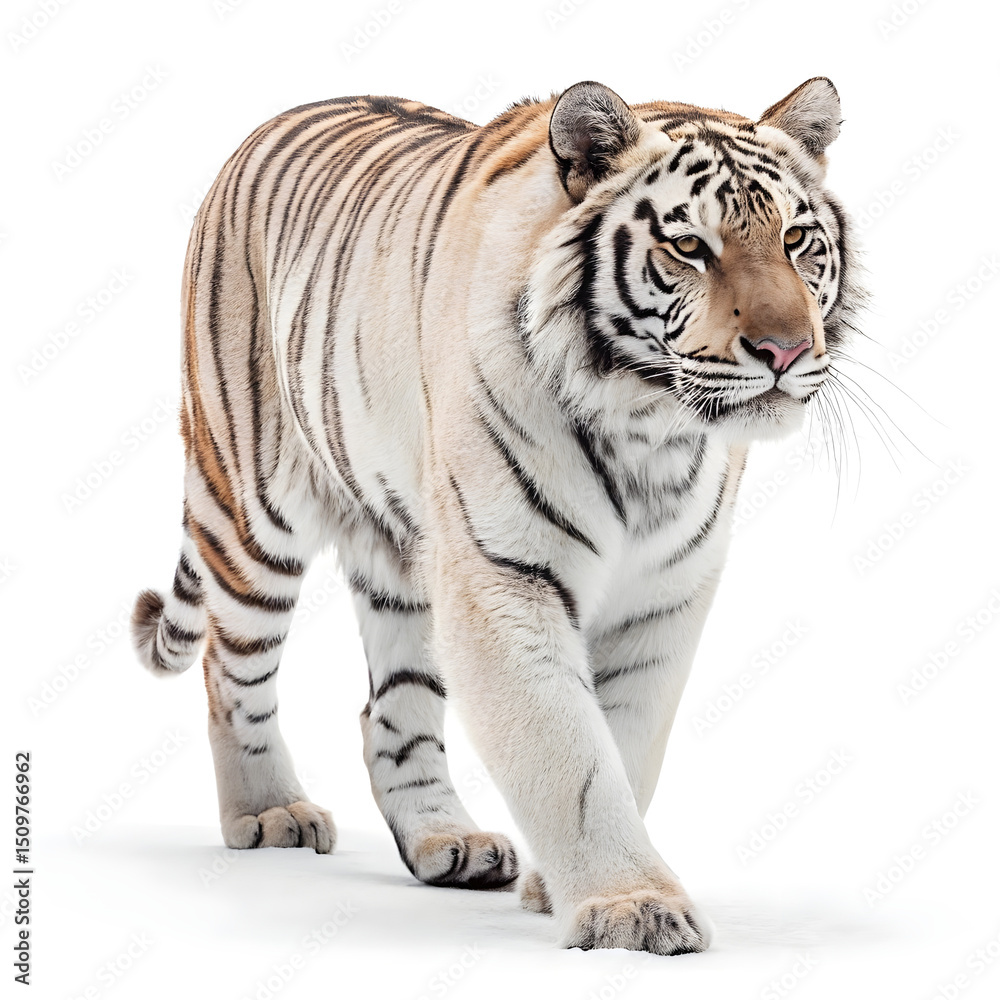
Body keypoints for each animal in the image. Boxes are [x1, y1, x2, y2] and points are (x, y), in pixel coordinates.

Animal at [130, 77, 862, 955]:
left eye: (796, 239)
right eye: (690, 247)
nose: (788, 350)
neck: (651, 428)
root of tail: (271, 124)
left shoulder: (665, 596)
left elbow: (628, 742)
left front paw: (564, 887)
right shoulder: (505, 576)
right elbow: (569, 753)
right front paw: (630, 906)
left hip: (403, 558)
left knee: (391, 709)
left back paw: (446, 841)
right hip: (254, 513)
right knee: (228, 670)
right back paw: (270, 811)